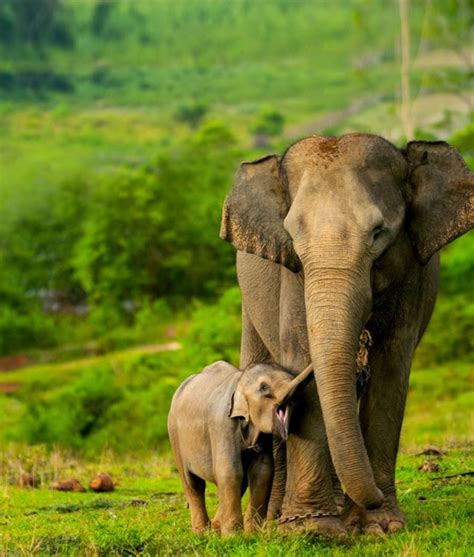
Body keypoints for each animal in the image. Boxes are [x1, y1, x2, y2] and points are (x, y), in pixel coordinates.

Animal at [168, 360, 312, 536]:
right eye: (264, 387)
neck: (240, 381)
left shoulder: (263, 436)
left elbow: (262, 471)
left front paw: (253, 534)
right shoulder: (222, 424)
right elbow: (229, 470)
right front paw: (233, 536)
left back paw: (216, 528)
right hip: (174, 434)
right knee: (192, 482)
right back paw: (201, 532)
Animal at [220, 134, 474, 536]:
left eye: (378, 232)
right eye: (293, 236)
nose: (373, 499)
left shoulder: (412, 275)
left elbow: (391, 367)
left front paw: (381, 525)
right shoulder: (293, 275)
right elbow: (300, 358)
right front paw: (313, 530)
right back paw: (272, 522)